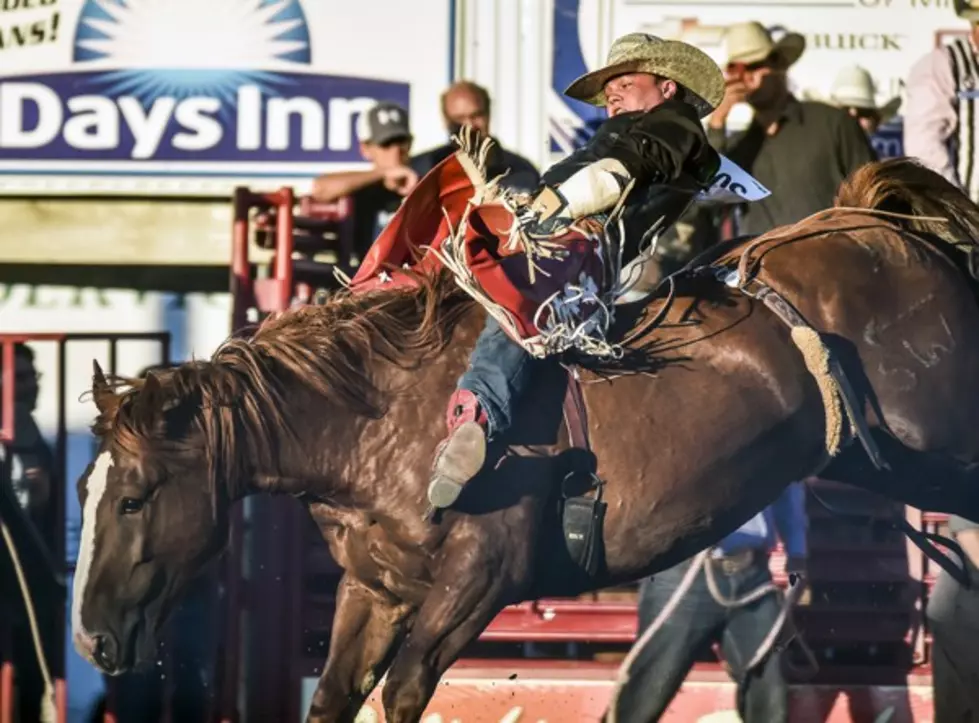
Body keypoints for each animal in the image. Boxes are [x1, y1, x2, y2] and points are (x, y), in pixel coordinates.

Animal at [72, 160, 979, 723]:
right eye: (87, 492)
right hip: (902, 460)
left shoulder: (480, 578)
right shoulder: (374, 588)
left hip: (940, 439)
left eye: (132, 498)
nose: (90, 638)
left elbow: (402, 692)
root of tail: (877, 222)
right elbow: (334, 697)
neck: (377, 418)